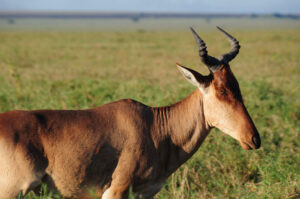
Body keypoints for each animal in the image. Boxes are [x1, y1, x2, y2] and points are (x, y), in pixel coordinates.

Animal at [0, 26, 260, 199]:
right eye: (220, 90)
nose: (254, 138)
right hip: (12, 190)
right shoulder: (116, 190)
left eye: (237, 86)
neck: (155, 126)